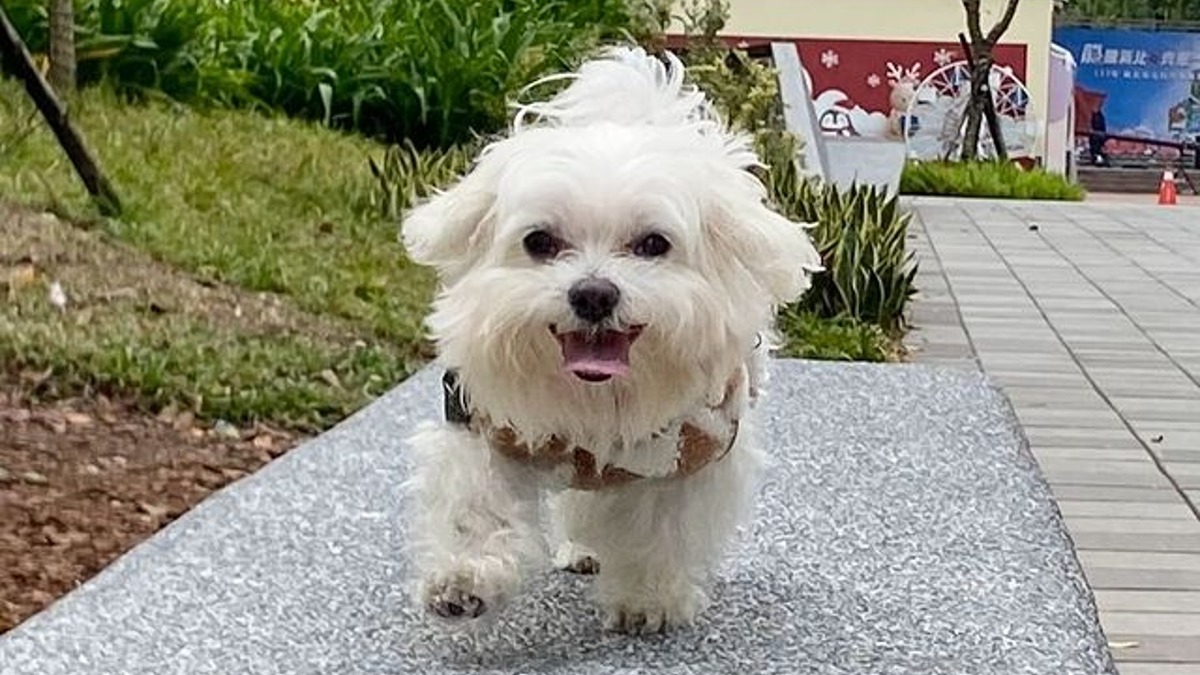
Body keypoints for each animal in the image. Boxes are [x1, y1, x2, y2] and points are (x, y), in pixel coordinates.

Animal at [399, 46, 821, 634]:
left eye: (653, 244)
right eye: (539, 241)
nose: (594, 294)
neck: (595, 402)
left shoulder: (686, 454)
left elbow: (658, 527)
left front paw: (647, 599)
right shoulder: (484, 425)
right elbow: (475, 503)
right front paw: (464, 579)